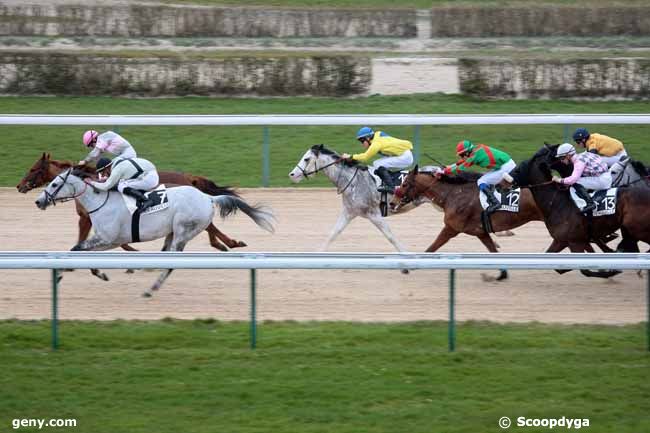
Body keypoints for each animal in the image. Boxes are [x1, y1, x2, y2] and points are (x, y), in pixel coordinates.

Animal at [17, 154, 247, 251]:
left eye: (33, 169)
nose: (20, 186)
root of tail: (189, 177)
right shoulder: (89, 219)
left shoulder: (87, 219)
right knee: (208, 225)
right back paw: (223, 244)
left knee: (210, 225)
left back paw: (229, 243)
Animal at [35, 167, 274, 296]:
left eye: (55, 184)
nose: (38, 201)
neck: (100, 201)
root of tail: (207, 198)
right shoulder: (107, 241)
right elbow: (80, 250)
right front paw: (96, 273)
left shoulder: (107, 238)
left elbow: (77, 248)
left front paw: (62, 274)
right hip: (173, 232)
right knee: (166, 254)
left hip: (182, 232)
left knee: (171, 262)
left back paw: (151, 288)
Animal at [288, 144, 420, 253]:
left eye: (306, 159)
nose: (292, 175)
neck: (353, 180)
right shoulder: (349, 212)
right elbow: (333, 233)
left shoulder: (374, 214)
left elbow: (390, 237)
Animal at [388, 165, 544, 280]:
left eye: (404, 184)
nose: (392, 202)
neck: (452, 195)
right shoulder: (481, 232)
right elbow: (492, 250)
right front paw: (502, 274)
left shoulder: (451, 228)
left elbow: (432, 247)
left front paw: (409, 266)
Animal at [506, 143, 648, 276]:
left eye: (518, 170)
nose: (505, 181)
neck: (557, 202)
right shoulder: (563, 240)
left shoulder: (575, 241)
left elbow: (586, 268)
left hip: (637, 229)